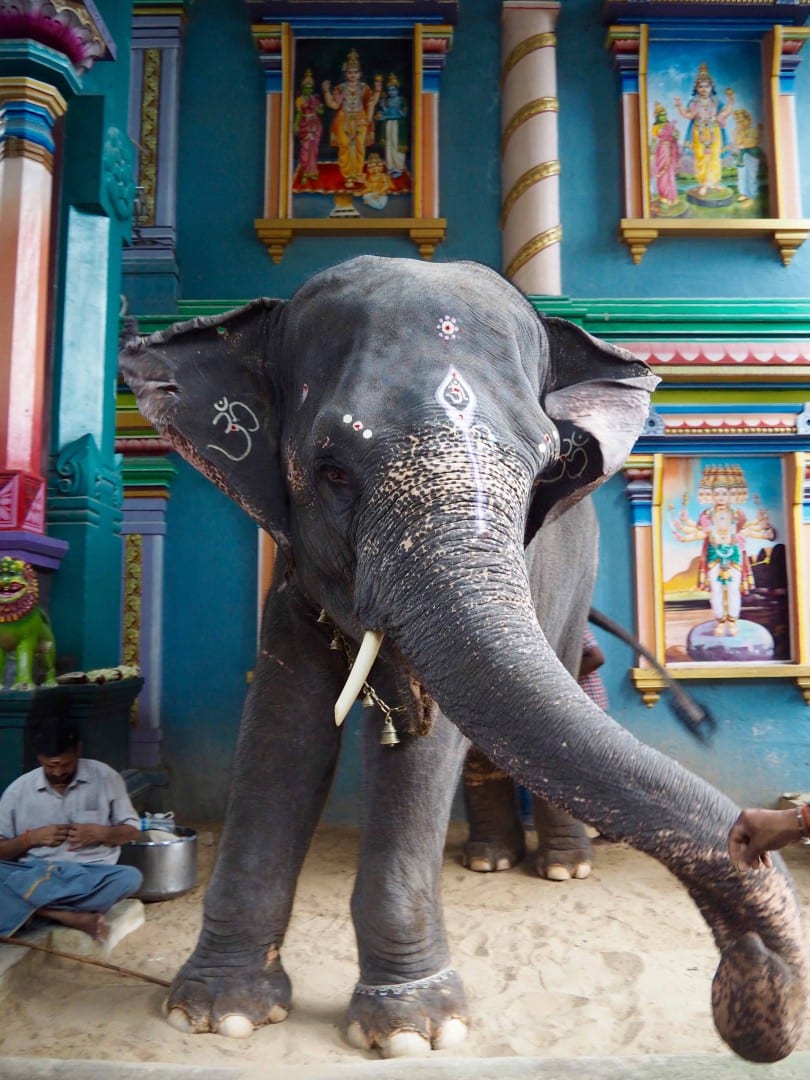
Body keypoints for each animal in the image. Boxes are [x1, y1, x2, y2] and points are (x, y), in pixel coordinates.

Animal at [118, 254, 807, 1062]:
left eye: (546, 467)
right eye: (331, 470)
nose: (750, 975)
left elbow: (424, 747)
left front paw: (413, 1029)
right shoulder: (292, 580)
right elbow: (283, 732)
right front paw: (217, 1014)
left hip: (577, 583)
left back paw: (562, 867)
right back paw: (491, 859)